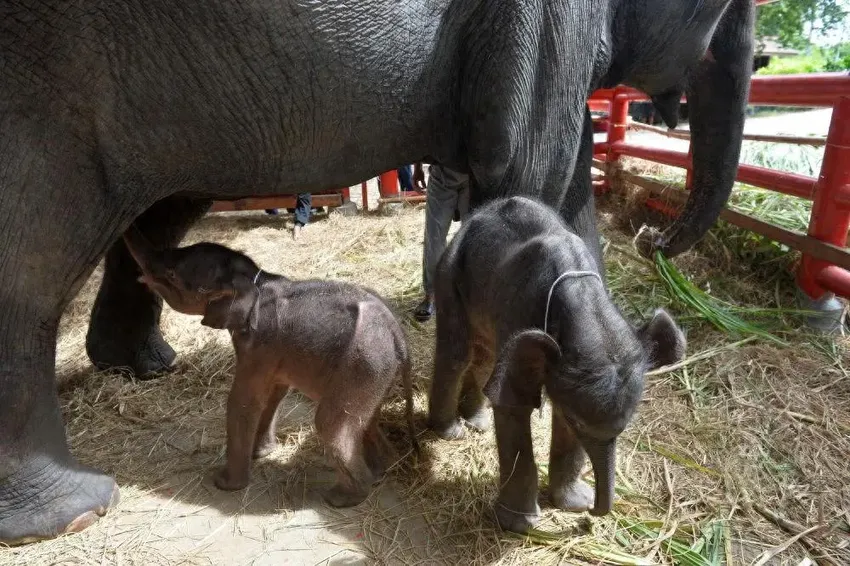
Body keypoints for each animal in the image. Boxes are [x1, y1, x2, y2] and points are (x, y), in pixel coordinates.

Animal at [123, 226, 418, 510]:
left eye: (172, 274)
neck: (255, 279)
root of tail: (398, 335)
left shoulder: (259, 346)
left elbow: (243, 400)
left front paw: (224, 483)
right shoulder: (274, 352)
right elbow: (274, 393)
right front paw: (259, 454)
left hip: (361, 366)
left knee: (331, 423)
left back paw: (342, 498)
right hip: (375, 373)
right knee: (365, 420)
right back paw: (380, 471)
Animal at [428, 197, 684, 536]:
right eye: (578, 422)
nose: (589, 517)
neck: (583, 298)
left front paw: (573, 504)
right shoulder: (520, 308)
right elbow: (513, 405)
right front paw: (521, 526)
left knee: (484, 356)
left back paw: (477, 423)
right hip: (450, 271)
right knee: (457, 352)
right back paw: (451, 432)